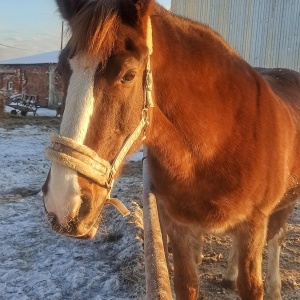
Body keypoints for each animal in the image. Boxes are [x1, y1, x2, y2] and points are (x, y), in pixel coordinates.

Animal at [42, 1, 300, 298]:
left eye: (128, 75)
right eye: (60, 73)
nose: (63, 202)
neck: (218, 144)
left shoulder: (254, 225)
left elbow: (252, 284)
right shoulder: (178, 225)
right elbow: (186, 283)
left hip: (286, 203)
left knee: (277, 238)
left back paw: (275, 287)